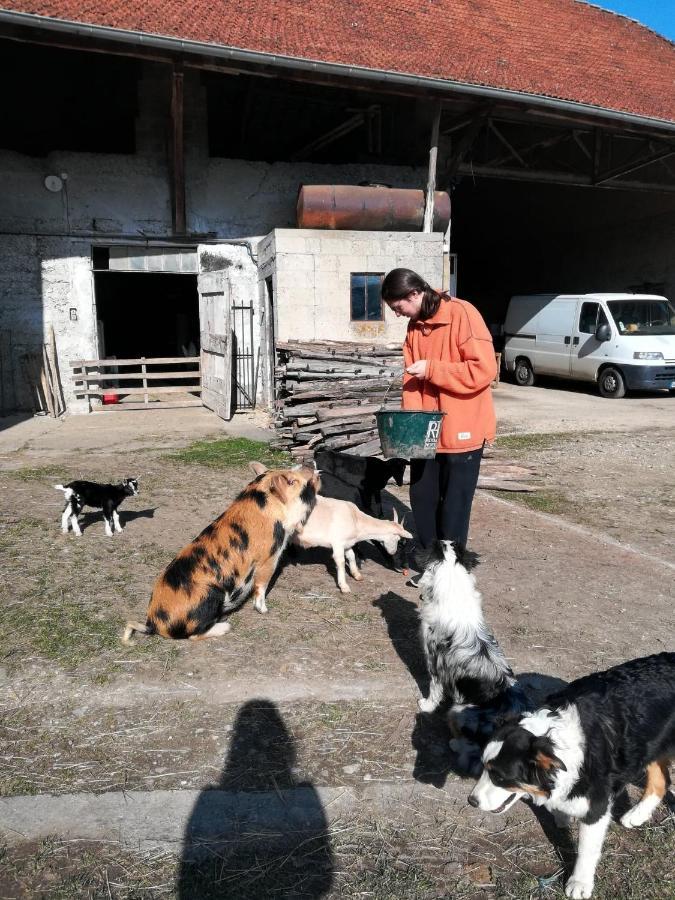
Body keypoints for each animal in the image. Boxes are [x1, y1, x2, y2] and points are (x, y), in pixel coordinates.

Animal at [123, 464, 320, 640]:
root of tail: (153, 624)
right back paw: (226, 625)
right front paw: (264, 610)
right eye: (292, 481)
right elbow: (261, 585)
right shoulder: (269, 557)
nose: (310, 466)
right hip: (210, 594)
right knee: (194, 635)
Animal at [468, 652, 675, 900]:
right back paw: (636, 815)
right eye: (484, 768)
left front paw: (580, 882)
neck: (556, 741)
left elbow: (586, 849)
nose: (471, 801)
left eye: (500, 777)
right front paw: (561, 814)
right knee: (662, 780)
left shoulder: (597, 804)